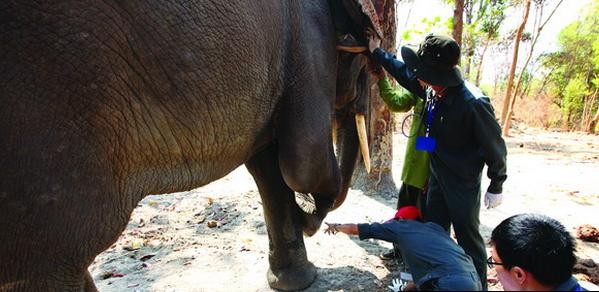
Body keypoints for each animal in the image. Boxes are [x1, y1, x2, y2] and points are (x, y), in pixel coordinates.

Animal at [1, 0, 380, 290]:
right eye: (363, 62)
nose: (313, 219)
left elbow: (269, 166)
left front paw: (295, 278)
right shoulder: (309, 37)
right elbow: (304, 162)